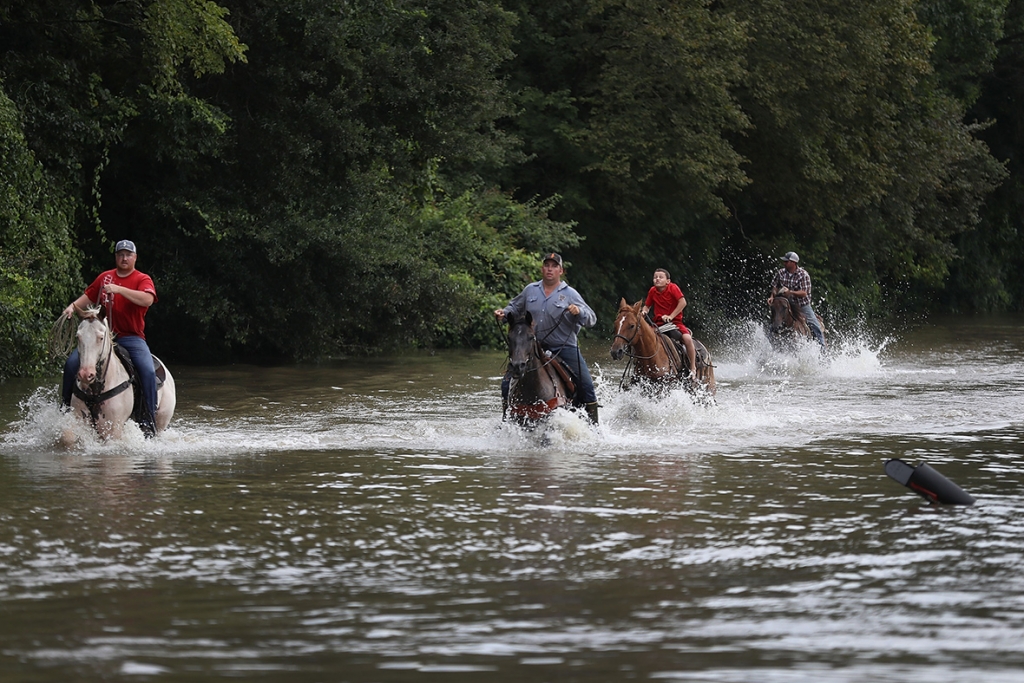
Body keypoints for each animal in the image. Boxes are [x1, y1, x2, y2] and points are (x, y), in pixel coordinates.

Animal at [66, 307, 175, 440]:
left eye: (101, 337)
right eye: (78, 337)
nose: (86, 375)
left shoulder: (113, 429)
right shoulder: (79, 418)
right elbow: (67, 437)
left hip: (161, 422)